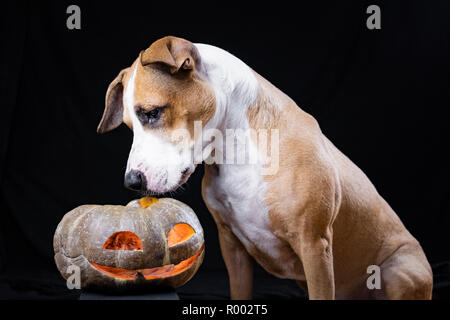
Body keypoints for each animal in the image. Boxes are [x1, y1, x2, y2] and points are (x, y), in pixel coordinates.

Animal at [97, 36, 432, 298]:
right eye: (129, 125)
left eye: (152, 113)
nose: (132, 181)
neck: (238, 149)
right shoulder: (232, 245)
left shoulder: (315, 246)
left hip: (399, 269)